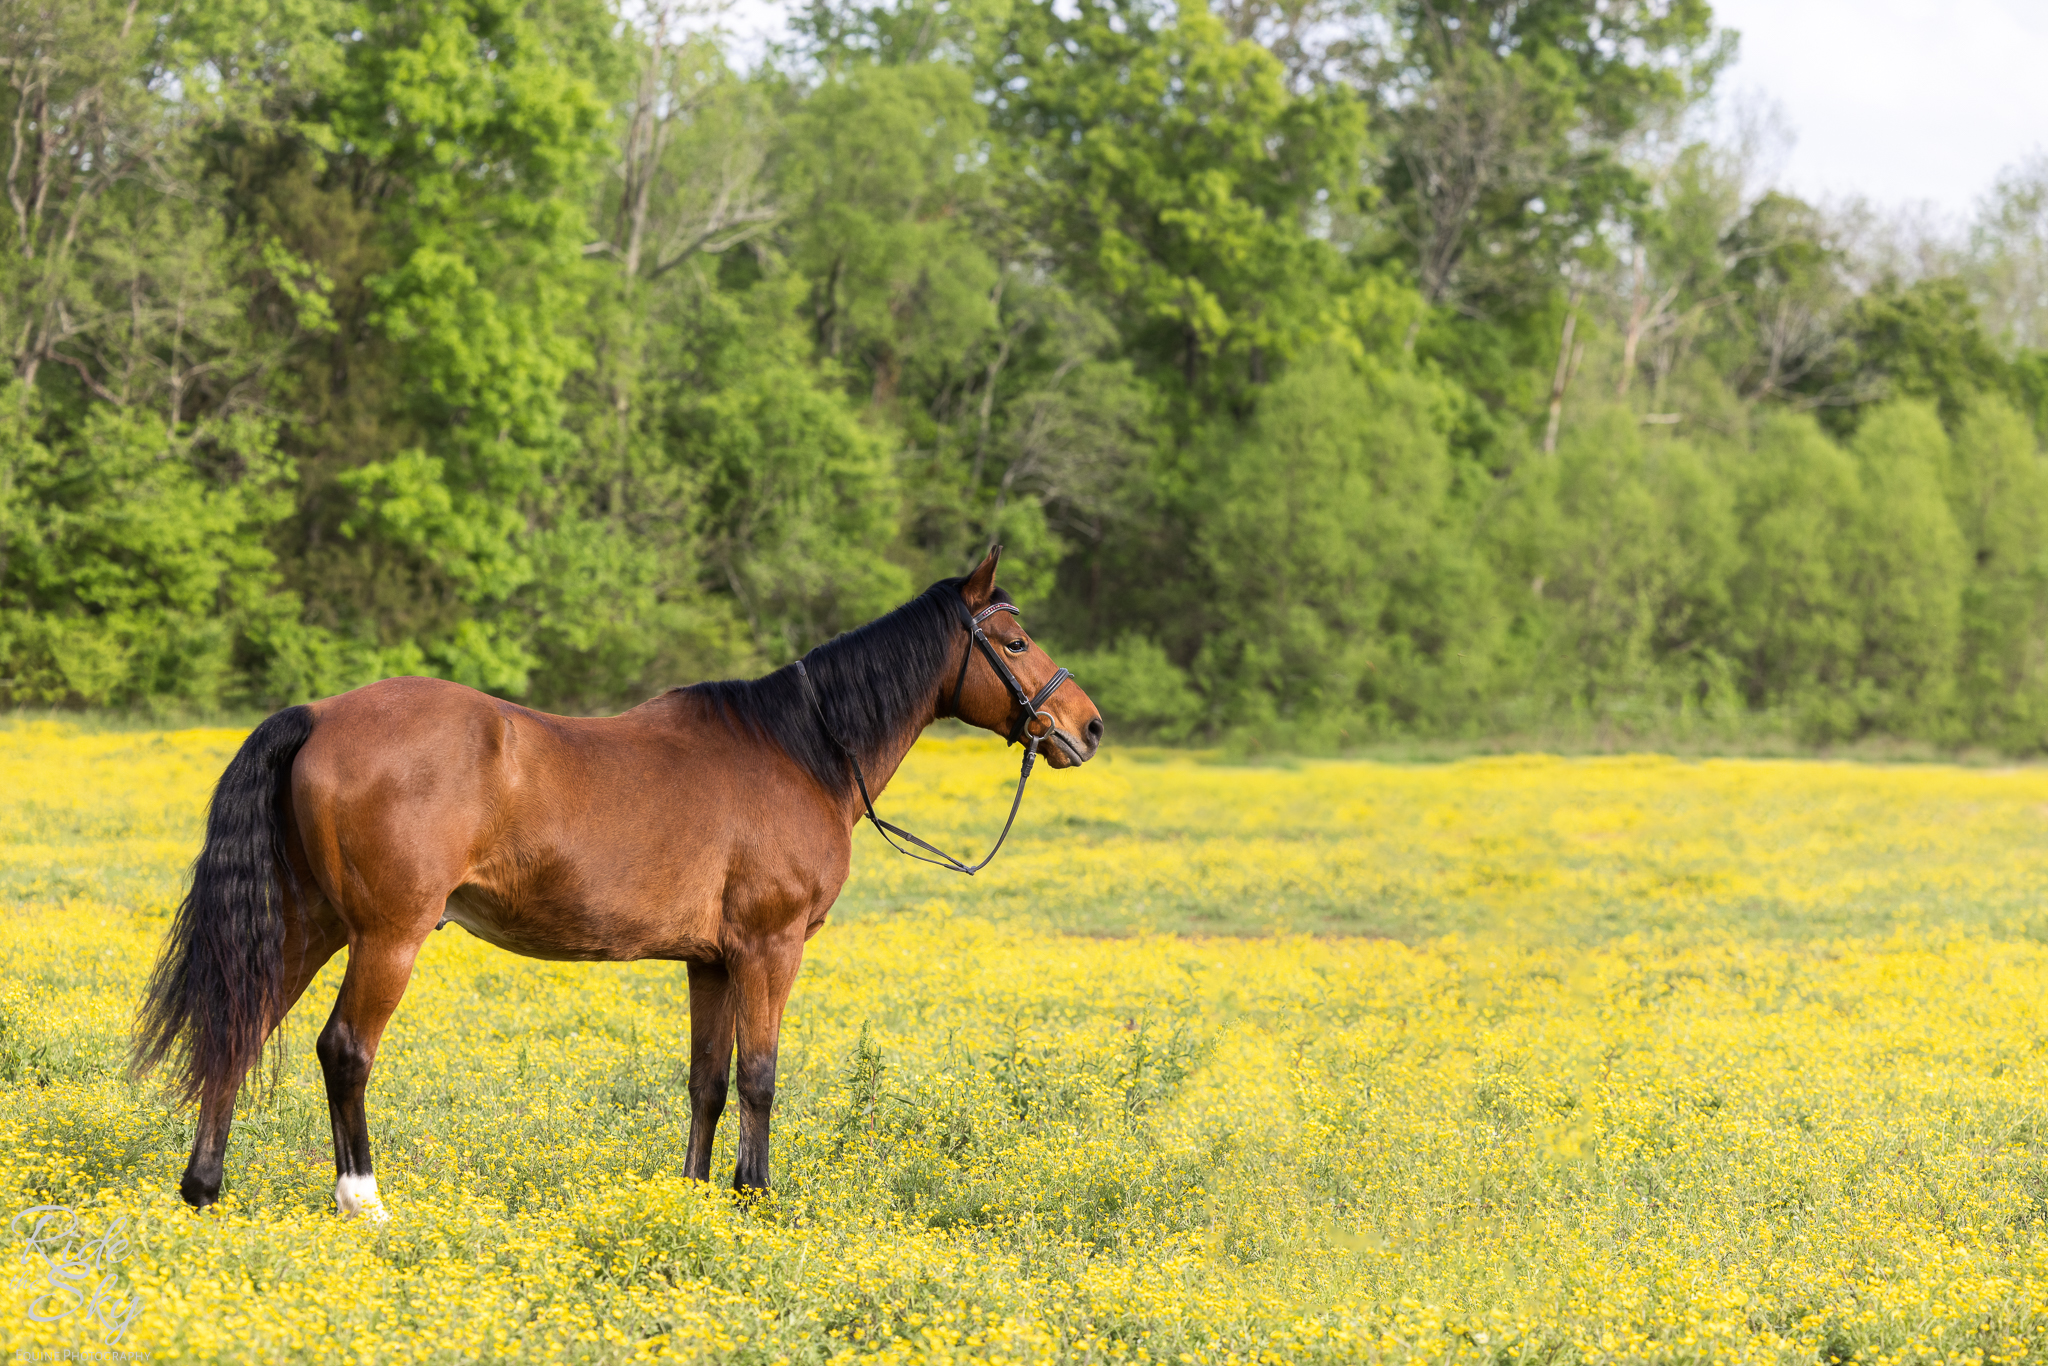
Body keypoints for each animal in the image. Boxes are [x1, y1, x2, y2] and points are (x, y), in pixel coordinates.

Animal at [134, 548, 1105, 1220]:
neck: (800, 750)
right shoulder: (769, 948)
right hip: (387, 937)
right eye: (1013, 640)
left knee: (239, 1027)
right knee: (344, 1051)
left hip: (309, 925)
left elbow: (707, 1080)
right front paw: (757, 1198)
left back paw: (204, 1187)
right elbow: (760, 1075)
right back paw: (362, 1199)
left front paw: (696, 1194)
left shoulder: (711, 962)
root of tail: (321, 714)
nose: (1088, 726)